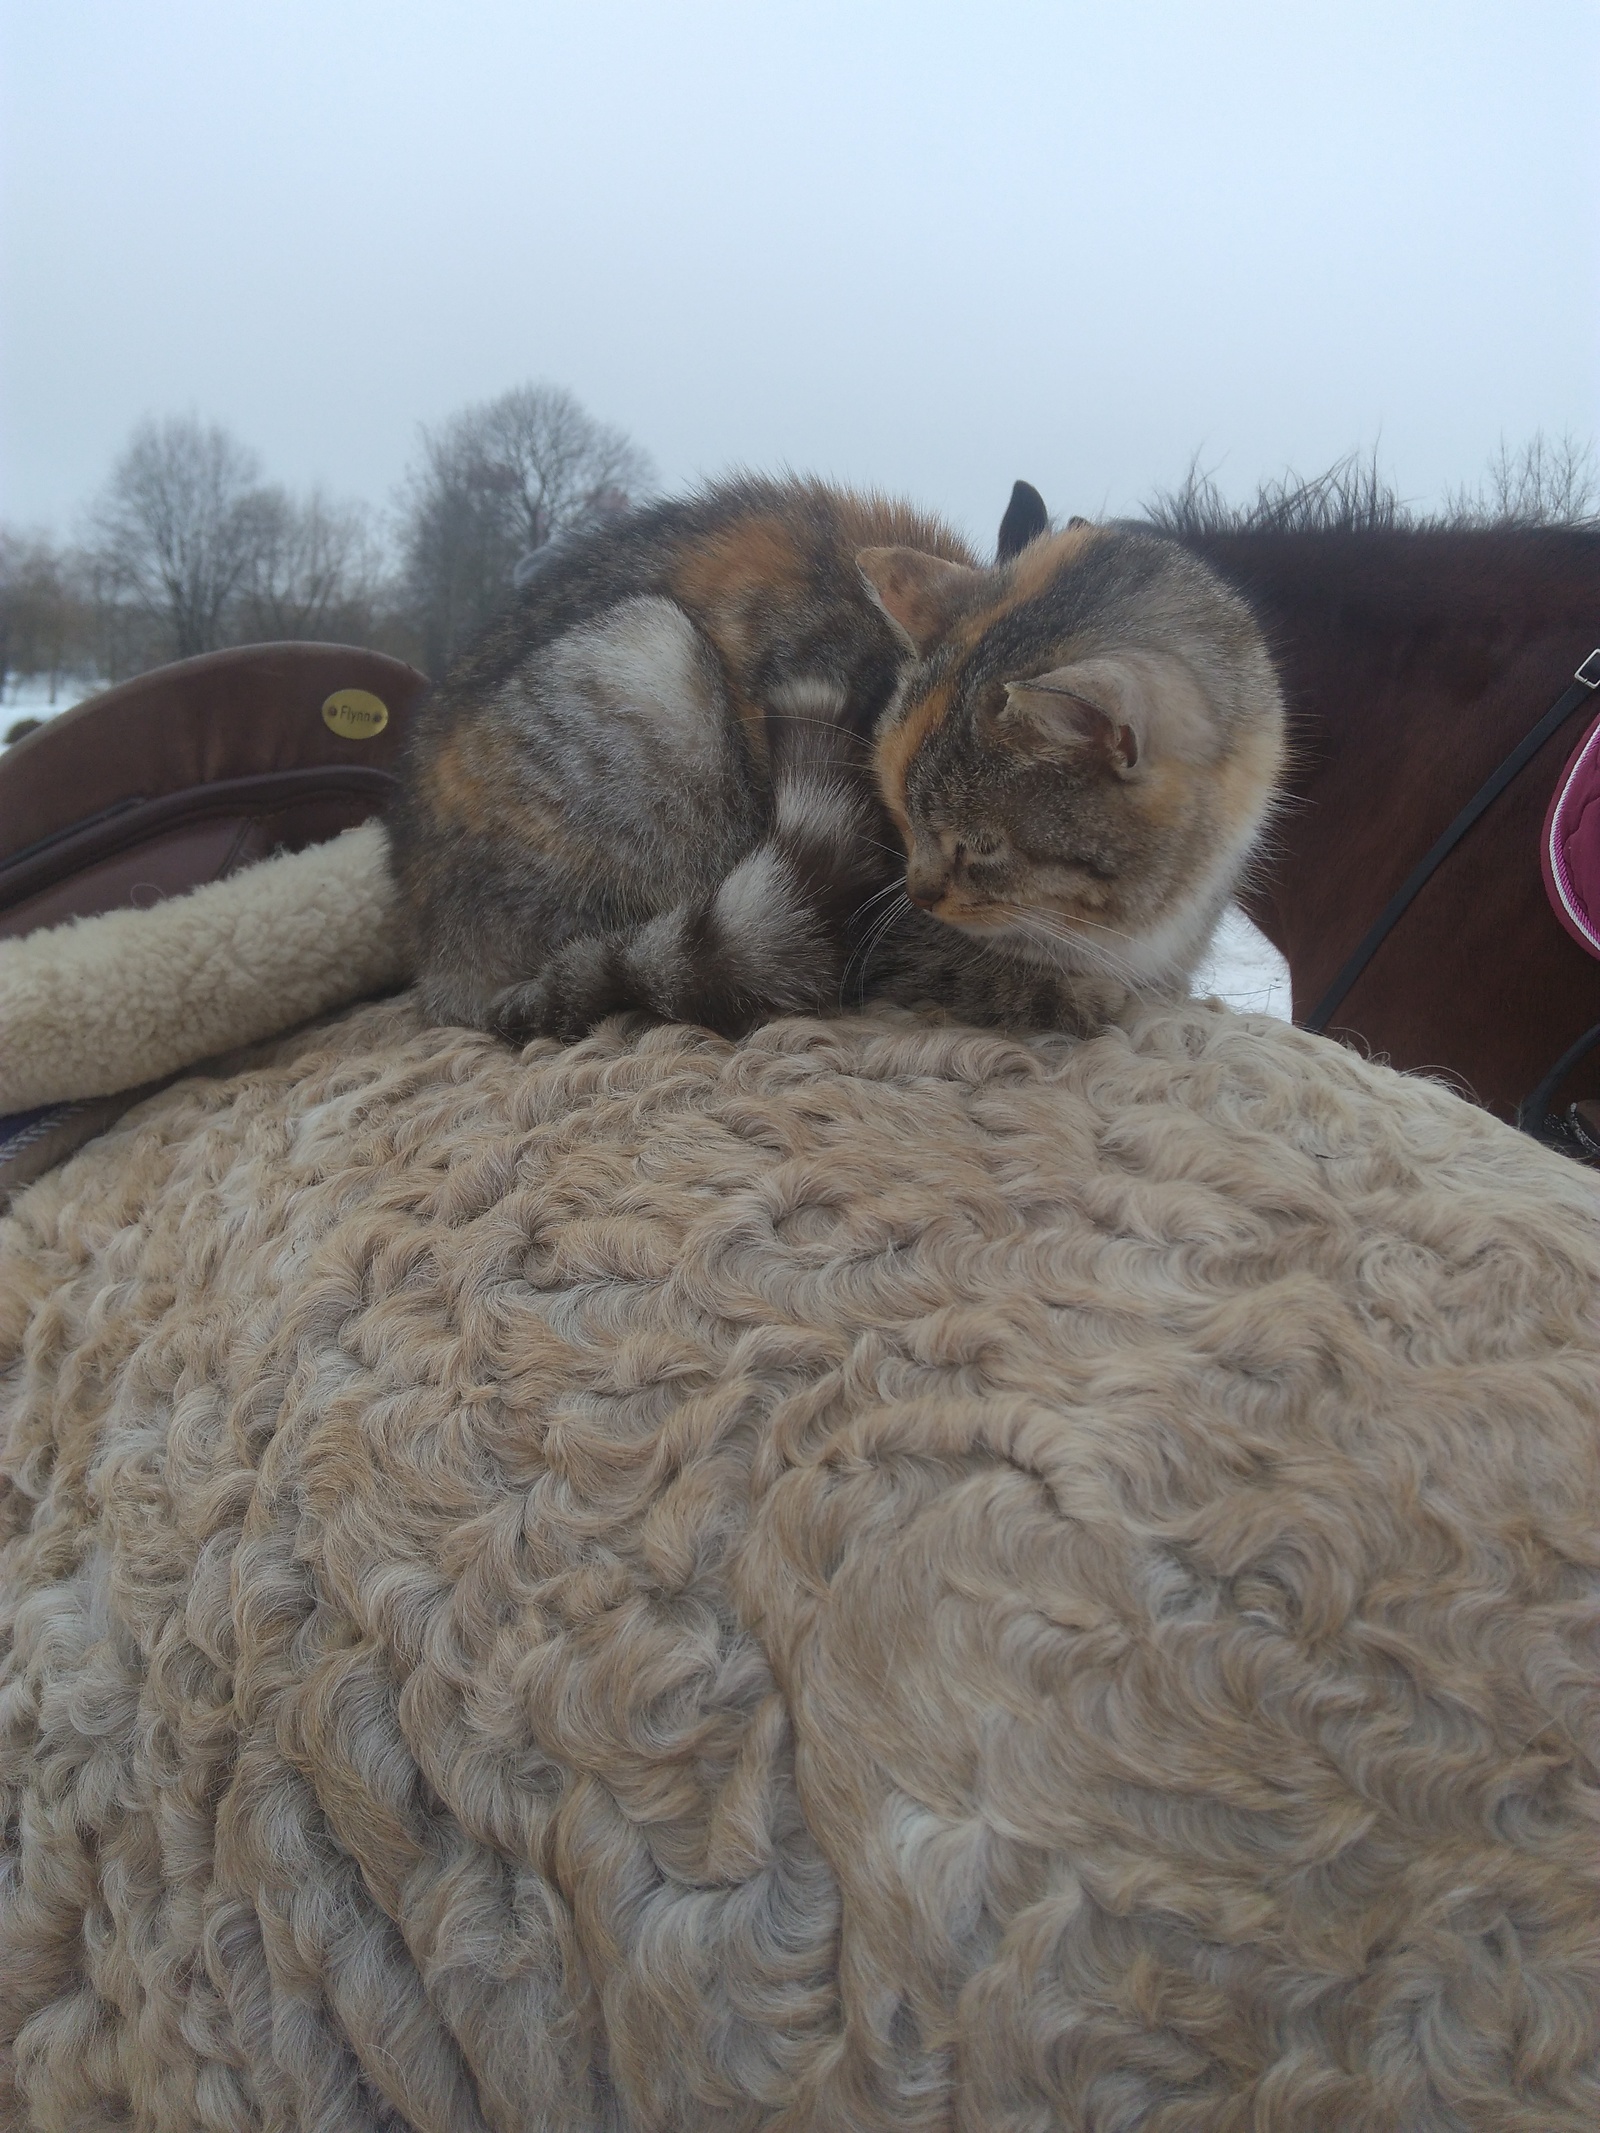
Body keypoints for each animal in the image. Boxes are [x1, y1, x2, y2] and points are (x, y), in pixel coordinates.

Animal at [392, 484, 1288, 1049]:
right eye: (892, 816)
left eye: (981, 847)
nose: (914, 891)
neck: (1141, 917)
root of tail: (435, 953)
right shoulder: (875, 938)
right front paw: (1072, 994)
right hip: (648, 659)